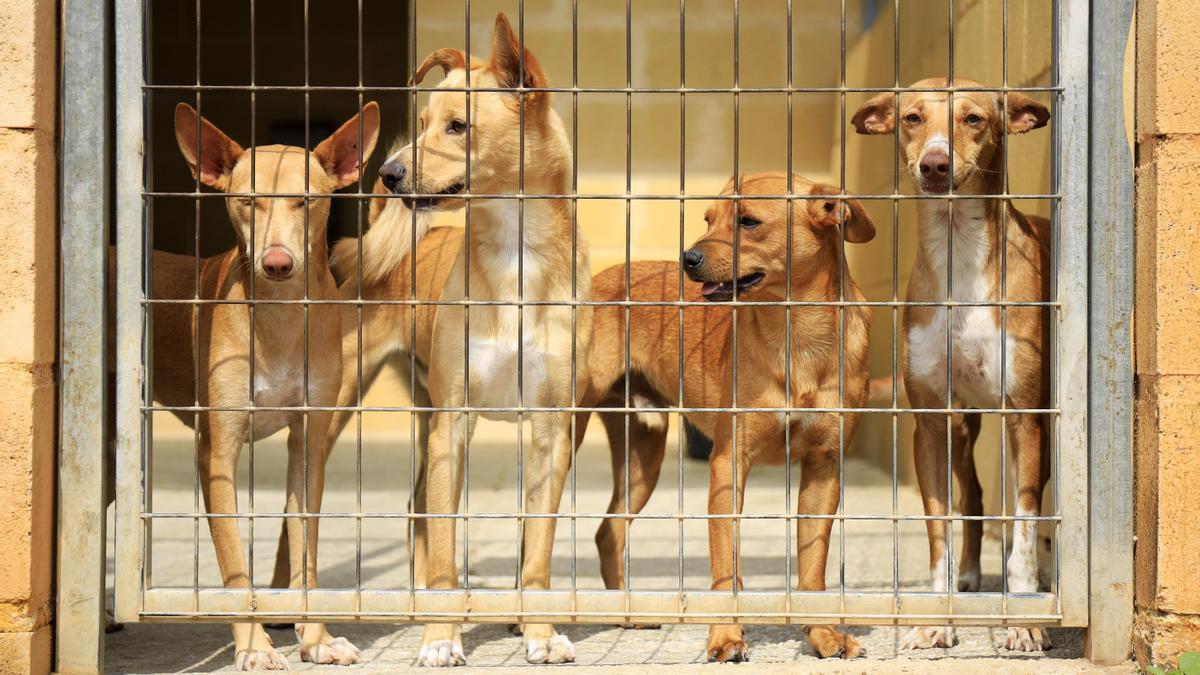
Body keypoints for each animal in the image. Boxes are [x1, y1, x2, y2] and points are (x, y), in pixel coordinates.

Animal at [150, 102, 376, 662]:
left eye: (306, 200)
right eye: (248, 200)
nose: (277, 263)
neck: (278, 320)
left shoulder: (309, 444)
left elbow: (305, 551)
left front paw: (316, 639)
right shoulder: (217, 452)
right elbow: (235, 563)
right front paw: (253, 646)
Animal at [576, 170, 878, 658]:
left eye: (748, 221)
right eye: (708, 219)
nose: (688, 258)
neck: (798, 337)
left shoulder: (824, 467)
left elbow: (813, 568)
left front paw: (823, 634)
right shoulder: (728, 464)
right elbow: (725, 565)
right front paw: (725, 636)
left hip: (643, 457)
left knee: (609, 531)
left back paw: (627, 613)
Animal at [849, 79, 1056, 653]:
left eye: (974, 119)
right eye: (913, 118)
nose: (935, 164)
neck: (958, 251)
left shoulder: (1025, 418)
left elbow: (1024, 528)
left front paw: (1024, 620)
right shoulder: (931, 423)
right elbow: (939, 527)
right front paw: (939, 618)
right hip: (962, 427)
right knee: (975, 496)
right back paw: (968, 574)